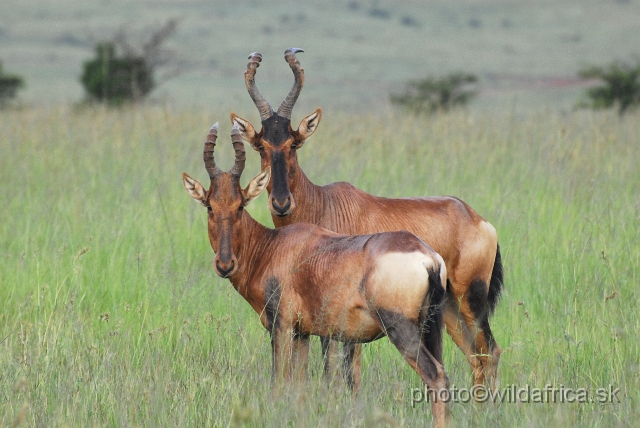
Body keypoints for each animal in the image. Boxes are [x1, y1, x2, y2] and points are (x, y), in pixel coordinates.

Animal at [180, 123, 450, 428]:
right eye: (209, 205)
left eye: (240, 205)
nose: (225, 264)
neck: (273, 246)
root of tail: (428, 257)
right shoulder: (303, 334)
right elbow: (299, 386)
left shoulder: (281, 326)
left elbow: (278, 383)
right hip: (430, 327)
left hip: (400, 327)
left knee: (435, 375)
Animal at [231, 48, 504, 392]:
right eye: (260, 146)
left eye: (293, 143)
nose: (281, 202)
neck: (323, 202)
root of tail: (479, 220)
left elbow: (343, 370)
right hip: (448, 306)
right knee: (474, 357)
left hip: (471, 299)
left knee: (490, 352)